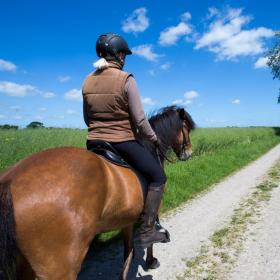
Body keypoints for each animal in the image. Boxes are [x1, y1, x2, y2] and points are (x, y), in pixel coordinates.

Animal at [0, 105, 195, 280]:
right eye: (185, 128)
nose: (189, 153)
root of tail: (10, 180)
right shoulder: (153, 208)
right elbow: (147, 240)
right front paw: (151, 260)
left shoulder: (127, 219)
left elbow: (128, 253)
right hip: (59, 266)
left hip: (24, 263)